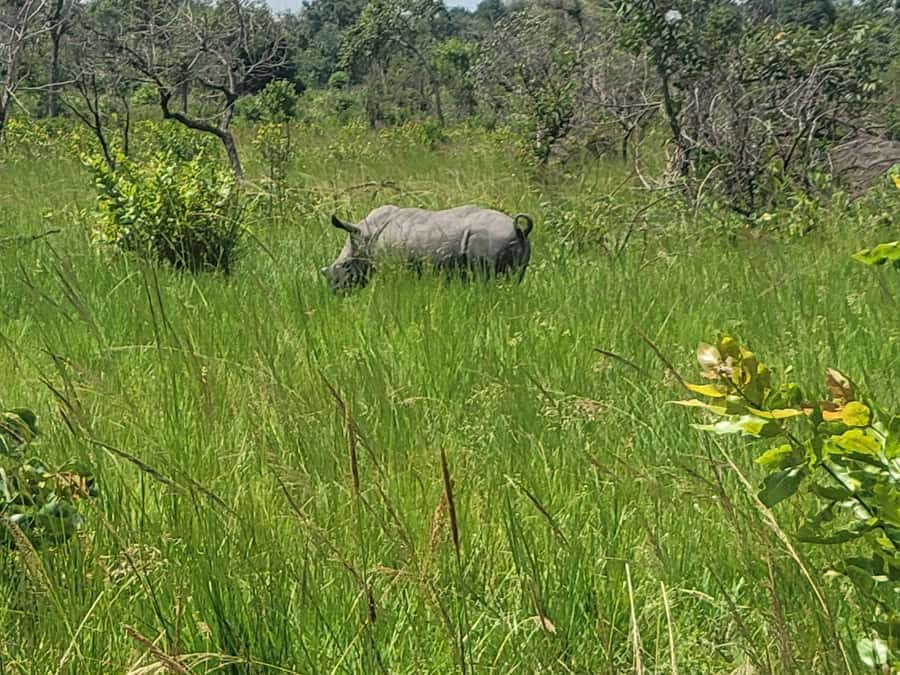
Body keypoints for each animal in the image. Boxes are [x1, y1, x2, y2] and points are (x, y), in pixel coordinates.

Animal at [320, 204, 534, 292]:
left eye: (346, 266)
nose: (335, 291)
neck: (365, 236)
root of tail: (518, 230)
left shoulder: (393, 266)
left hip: (490, 237)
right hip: (521, 245)